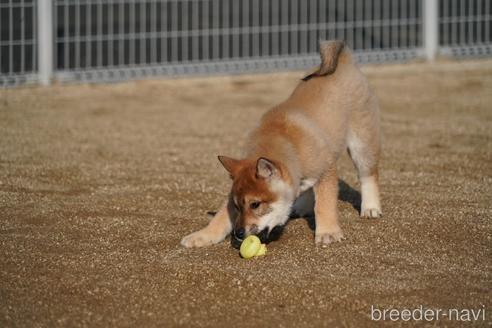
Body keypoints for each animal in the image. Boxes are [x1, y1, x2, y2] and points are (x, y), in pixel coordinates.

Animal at [183, 39, 382, 247]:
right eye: (237, 207)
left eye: (255, 204)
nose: (238, 233)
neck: (289, 145)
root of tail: (344, 61)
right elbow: (220, 217)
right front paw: (202, 235)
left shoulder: (326, 171)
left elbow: (324, 205)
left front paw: (328, 232)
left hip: (362, 145)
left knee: (368, 176)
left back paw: (370, 207)